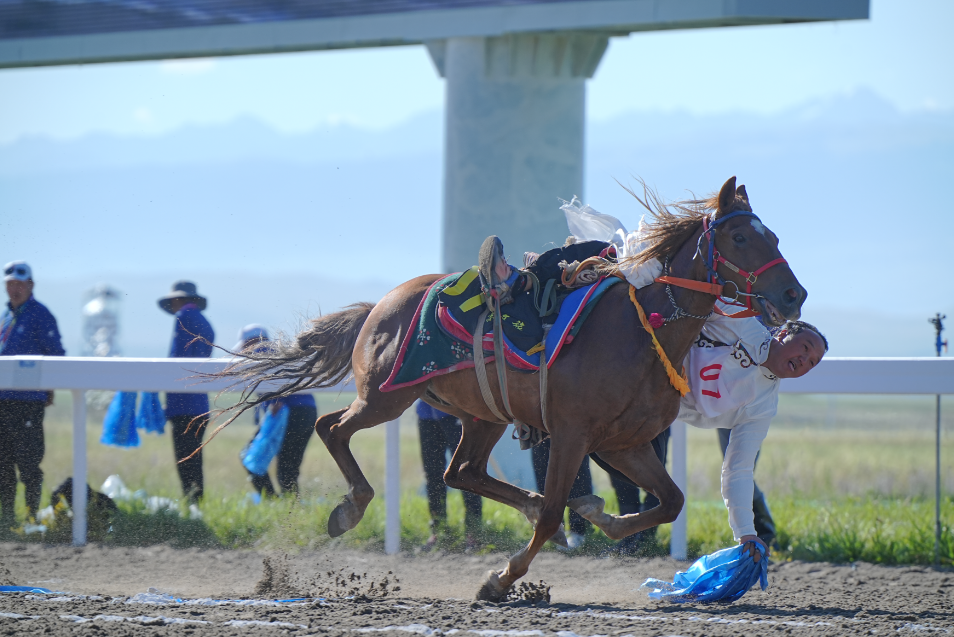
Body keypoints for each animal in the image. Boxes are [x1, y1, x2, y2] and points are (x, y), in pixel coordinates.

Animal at [208, 175, 804, 600]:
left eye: (773, 235)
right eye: (741, 236)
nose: (793, 294)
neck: (643, 327)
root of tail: (381, 303)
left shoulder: (622, 443)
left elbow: (670, 501)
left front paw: (599, 517)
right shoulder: (572, 435)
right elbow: (557, 510)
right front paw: (500, 578)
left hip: (481, 414)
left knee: (460, 471)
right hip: (386, 395)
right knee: (334, 428)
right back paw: (350, 507)